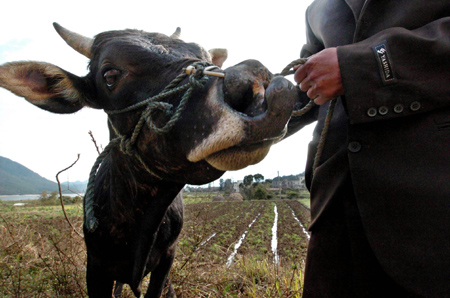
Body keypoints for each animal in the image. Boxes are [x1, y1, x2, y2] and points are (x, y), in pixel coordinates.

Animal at [0, 23, 300, 298]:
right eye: (110, 74)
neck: (139, 220)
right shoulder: (96, 267)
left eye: (203, 54)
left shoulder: (165, 262)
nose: (250, 81)